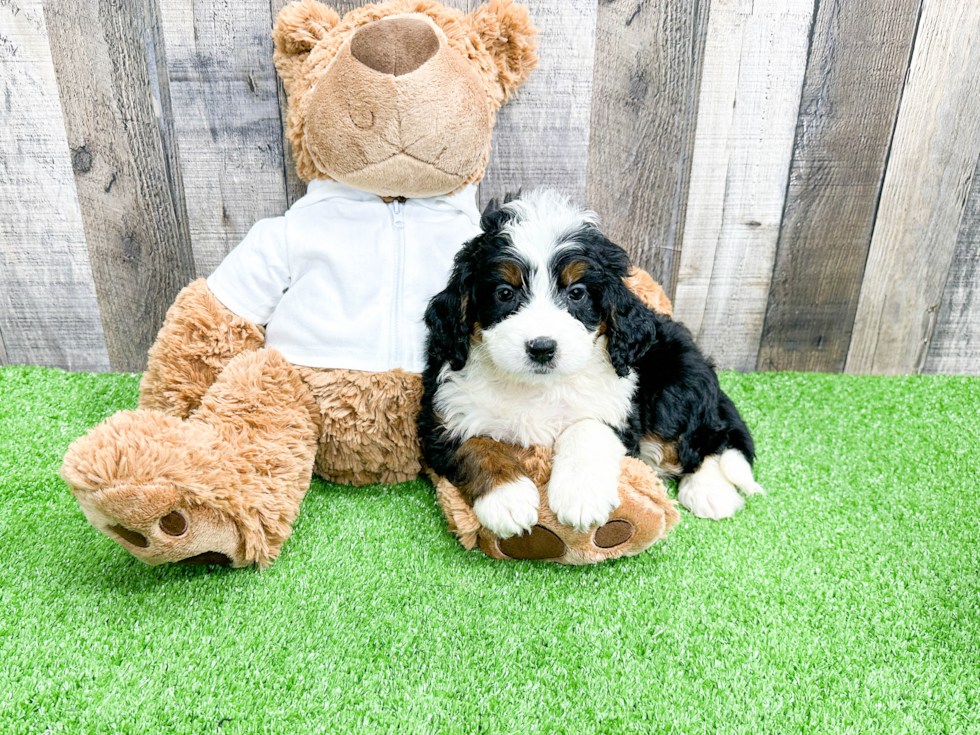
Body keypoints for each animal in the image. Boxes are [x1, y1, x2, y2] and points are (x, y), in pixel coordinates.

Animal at [418, 188, 760, 536]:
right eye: (504, 293)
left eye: (577, 293)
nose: (542, 348)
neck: (537, 387)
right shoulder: (443, 412)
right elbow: (477, 445)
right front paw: (507, 499)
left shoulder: (618, 408)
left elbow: (586, 428)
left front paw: (581, 496)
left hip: (675, 386)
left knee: (707, 438)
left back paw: (710, 492)